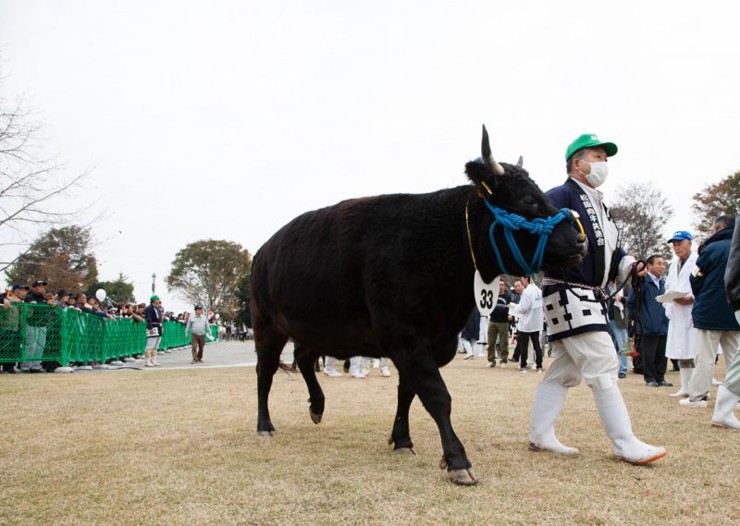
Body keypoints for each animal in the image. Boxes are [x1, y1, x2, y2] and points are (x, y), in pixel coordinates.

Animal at [251, 128, 588, 486]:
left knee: (303, 357)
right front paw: (457, 459)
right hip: (267, 326)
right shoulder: (404, 336)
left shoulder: (431, 341)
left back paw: (317, 407)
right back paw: (265, 425)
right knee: (265, 372)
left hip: (316, 329)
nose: (580, 241)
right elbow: (437, 395)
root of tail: (263, 250)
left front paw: (402, 439)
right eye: (527, 200)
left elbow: (408, 392)